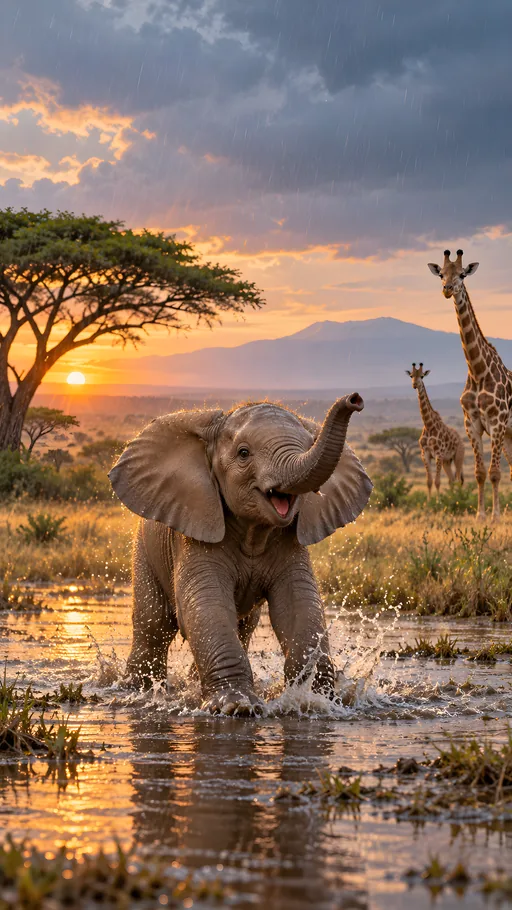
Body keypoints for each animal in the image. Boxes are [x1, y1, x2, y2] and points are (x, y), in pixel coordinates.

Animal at [108, 394, 372, 715]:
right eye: (243, 453)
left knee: (243, 626)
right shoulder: (195, 528)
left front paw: (316, 701)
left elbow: (298, 605)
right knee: (153, 626)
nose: (354, 400)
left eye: (308, 445)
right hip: (144, 549)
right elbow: (205, 602)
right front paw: (237, 707)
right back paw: (138, 691)